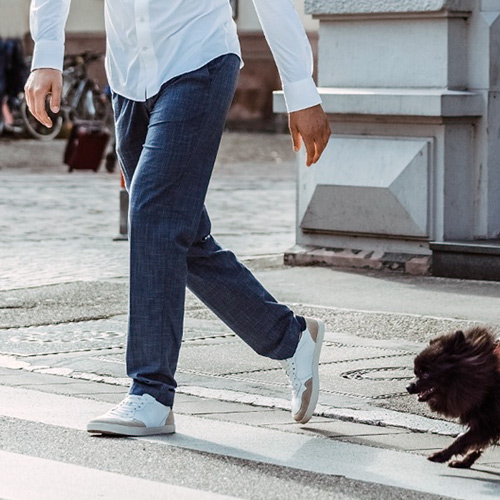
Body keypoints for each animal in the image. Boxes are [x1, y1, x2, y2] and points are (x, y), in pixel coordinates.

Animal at [406, 328, 500, 468]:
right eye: (416, 372)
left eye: (426, 373)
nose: (408, 386)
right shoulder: (486, 422)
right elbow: (475, 446)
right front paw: (464, 462)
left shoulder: (489, 423)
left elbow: (462, 439)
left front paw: (441, 455)